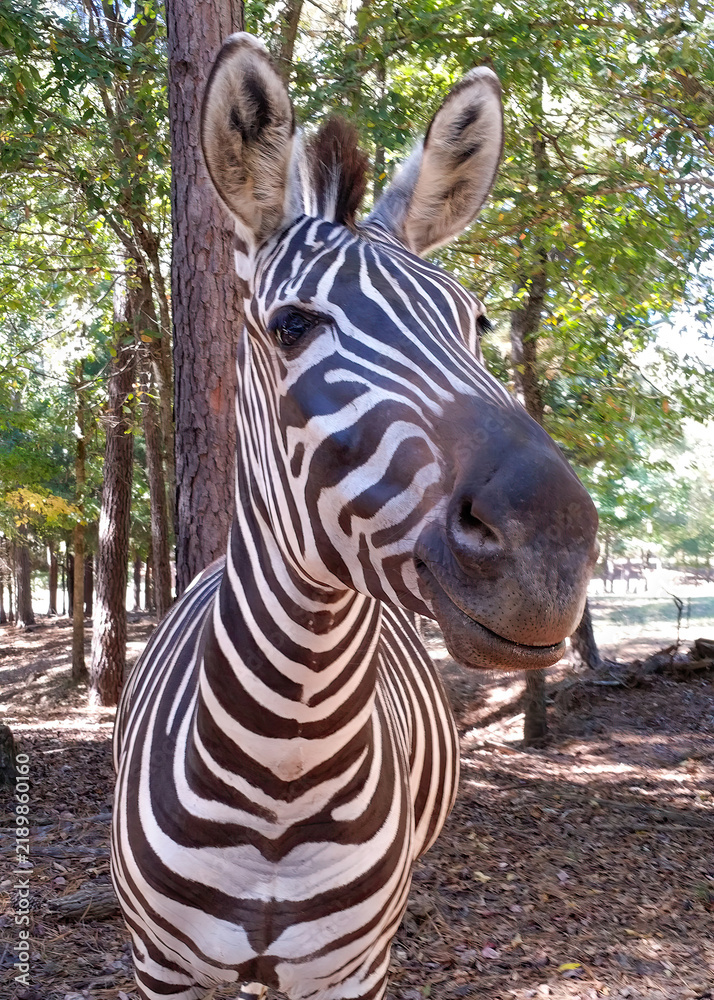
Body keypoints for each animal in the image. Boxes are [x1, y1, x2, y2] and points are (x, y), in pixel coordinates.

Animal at [112, 33, 598, 1000]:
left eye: (476, 322)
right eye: (292, 327)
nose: (553, 548)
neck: (283, 771)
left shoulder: (354, 969)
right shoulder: (160, 968)